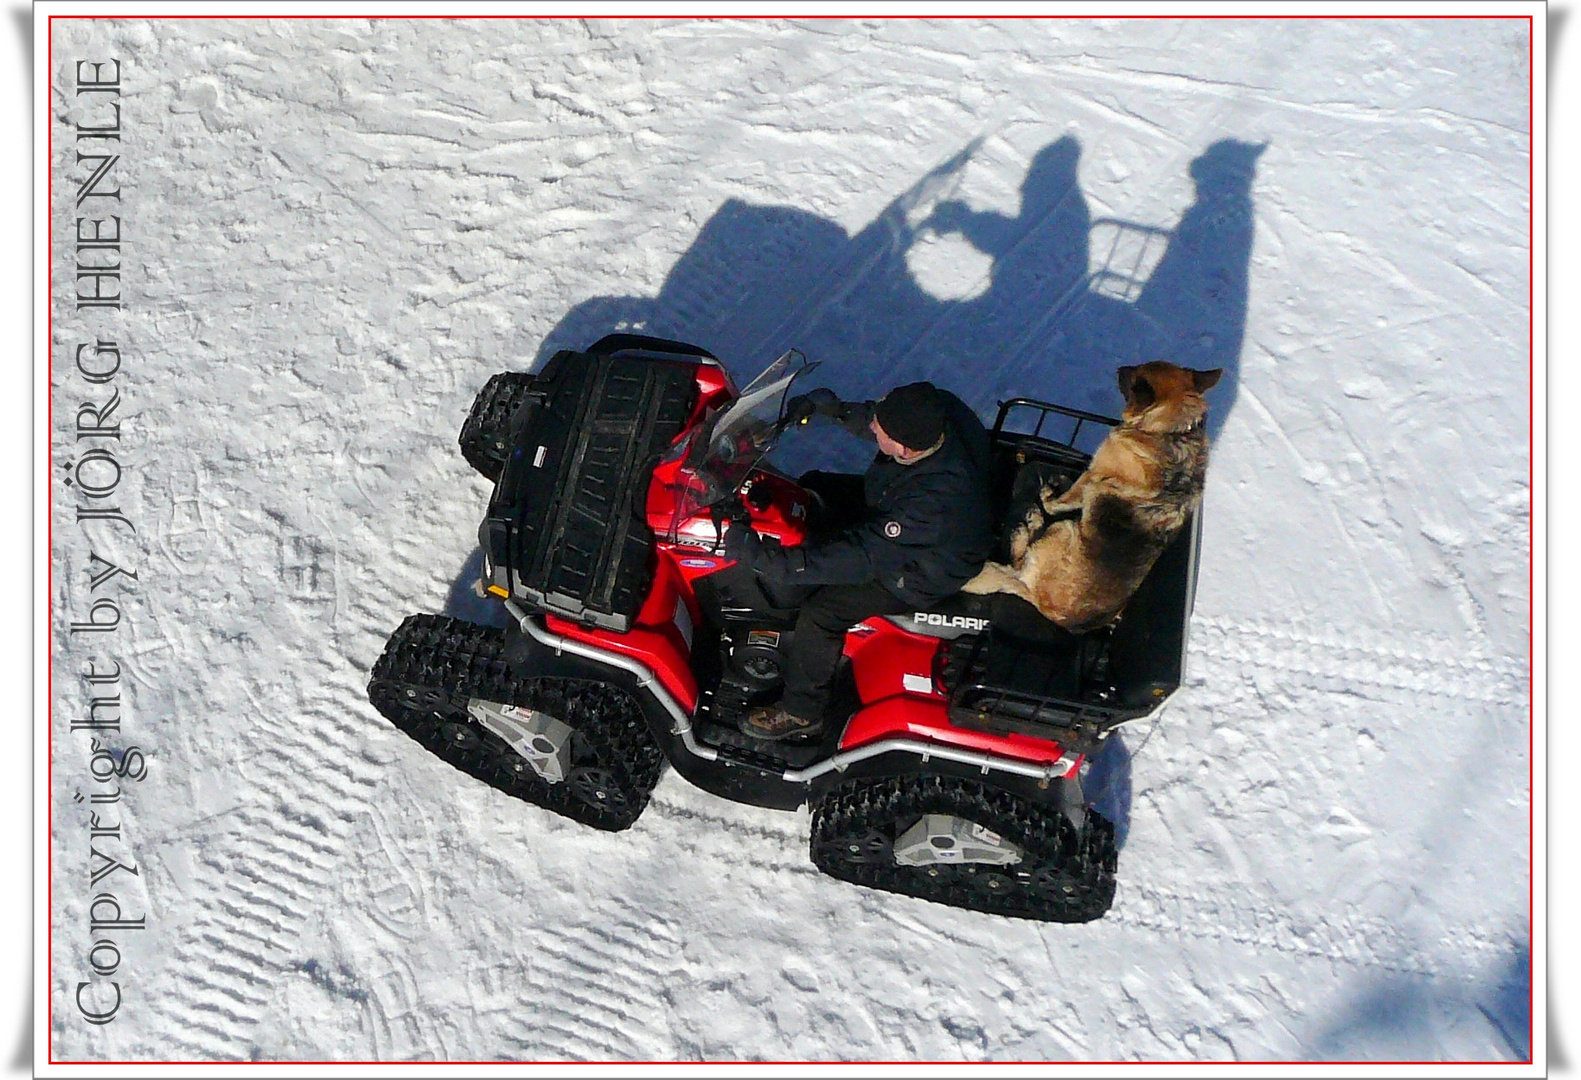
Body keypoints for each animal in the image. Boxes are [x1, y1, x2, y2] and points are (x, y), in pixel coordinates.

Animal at [961, 363, 1220, 632]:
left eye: (1135, 375)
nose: (1119, 368)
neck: (1174, 432)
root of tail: (1039, 603)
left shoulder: (1091, 476)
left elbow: (1059, 502)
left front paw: (1048, 499)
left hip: (1062, 529)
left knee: (1019, 562)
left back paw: (1029, 527)